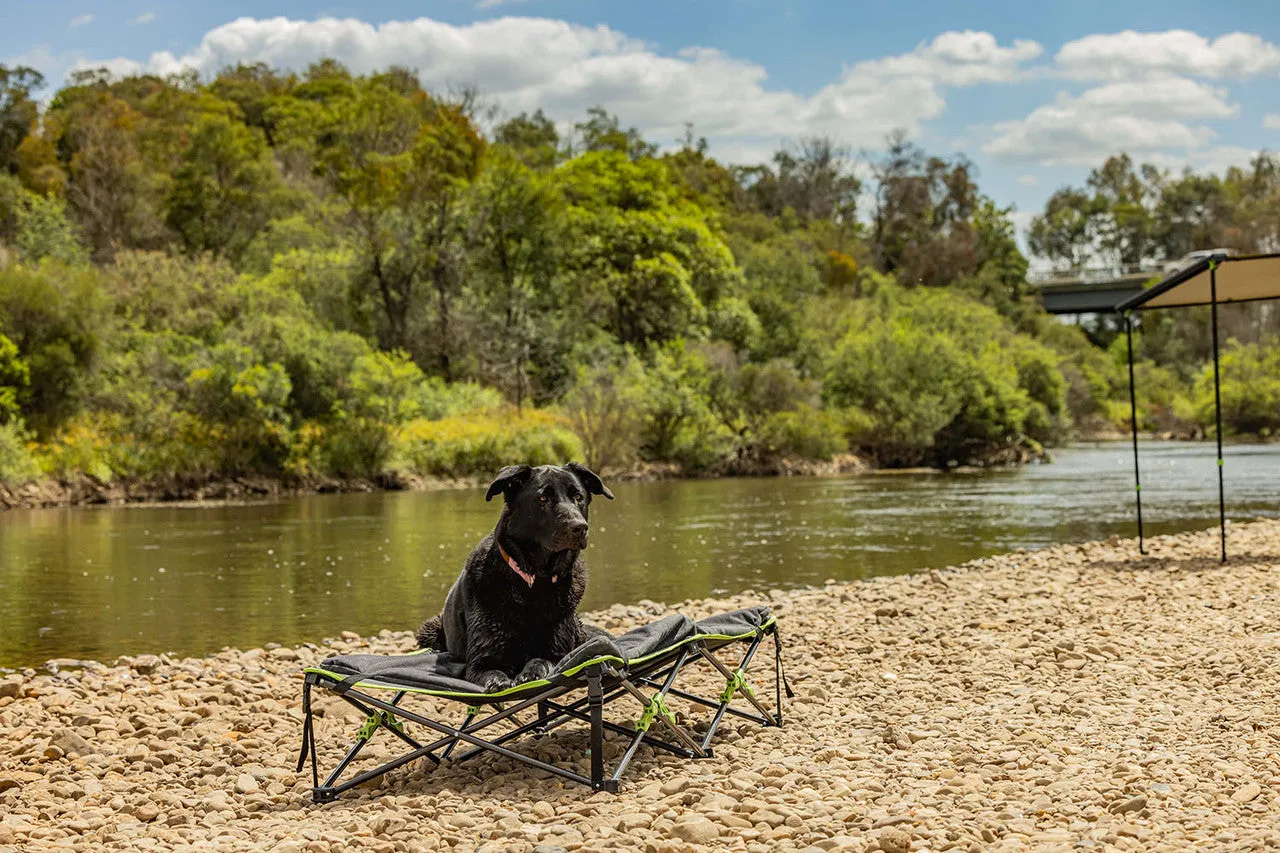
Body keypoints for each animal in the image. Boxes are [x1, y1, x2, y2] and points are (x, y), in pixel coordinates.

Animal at [414, 458, 614, 691]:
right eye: (543, 498)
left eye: (578, 497)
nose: (580, 527)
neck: (536, 580)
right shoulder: (481, 662)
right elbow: (492, 671)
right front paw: (499, 681)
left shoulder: (559, 653)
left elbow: (541, 660)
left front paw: (530, 673)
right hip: (429, 629)